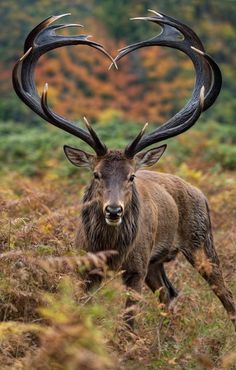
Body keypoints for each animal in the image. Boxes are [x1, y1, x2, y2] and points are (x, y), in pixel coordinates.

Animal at [13, 10, 236, 330]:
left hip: (200, 240)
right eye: (96, 174)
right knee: (169, 293)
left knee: (225, 295)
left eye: (131, 176)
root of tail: (200, 193)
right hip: (157, 261)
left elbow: (129, 323)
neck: (112, 251)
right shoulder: (85, 266)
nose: (113, 210)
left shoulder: (135, 267)